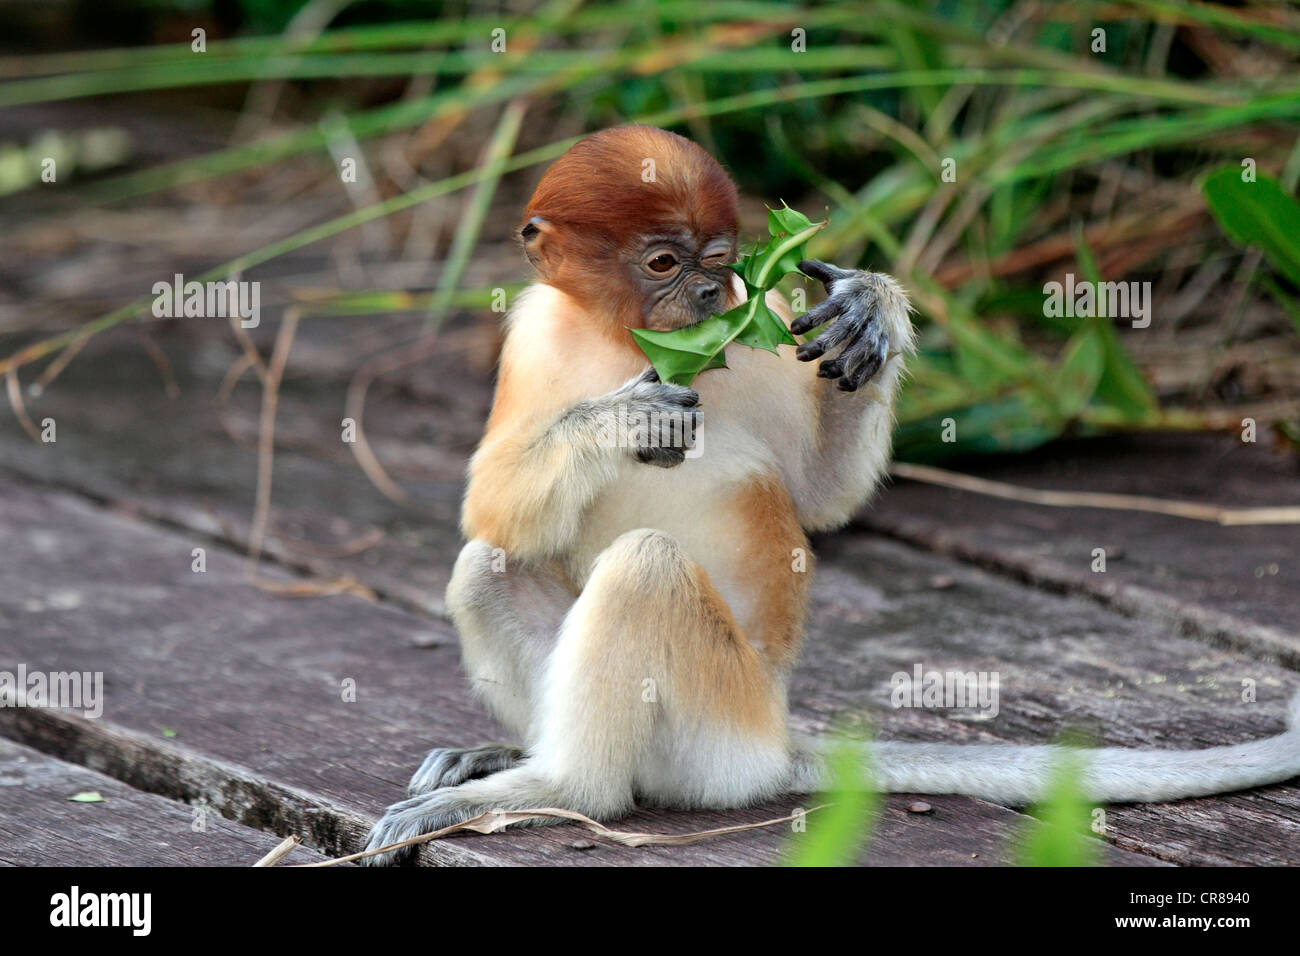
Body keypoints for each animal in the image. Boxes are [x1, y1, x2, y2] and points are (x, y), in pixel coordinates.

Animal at [361, 124, 1300, 864]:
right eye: (662, 261)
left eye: (718, 262)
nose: (708, 295)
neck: (615, 336)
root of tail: (775, 741)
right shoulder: (535, 329)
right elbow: (490, 507)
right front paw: (626, 421)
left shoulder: (763, 316)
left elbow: (819, 496)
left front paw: (868, 312)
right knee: (488, 561)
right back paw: (509, 758)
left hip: (720, 730)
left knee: (643, 568)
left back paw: (560, 786)